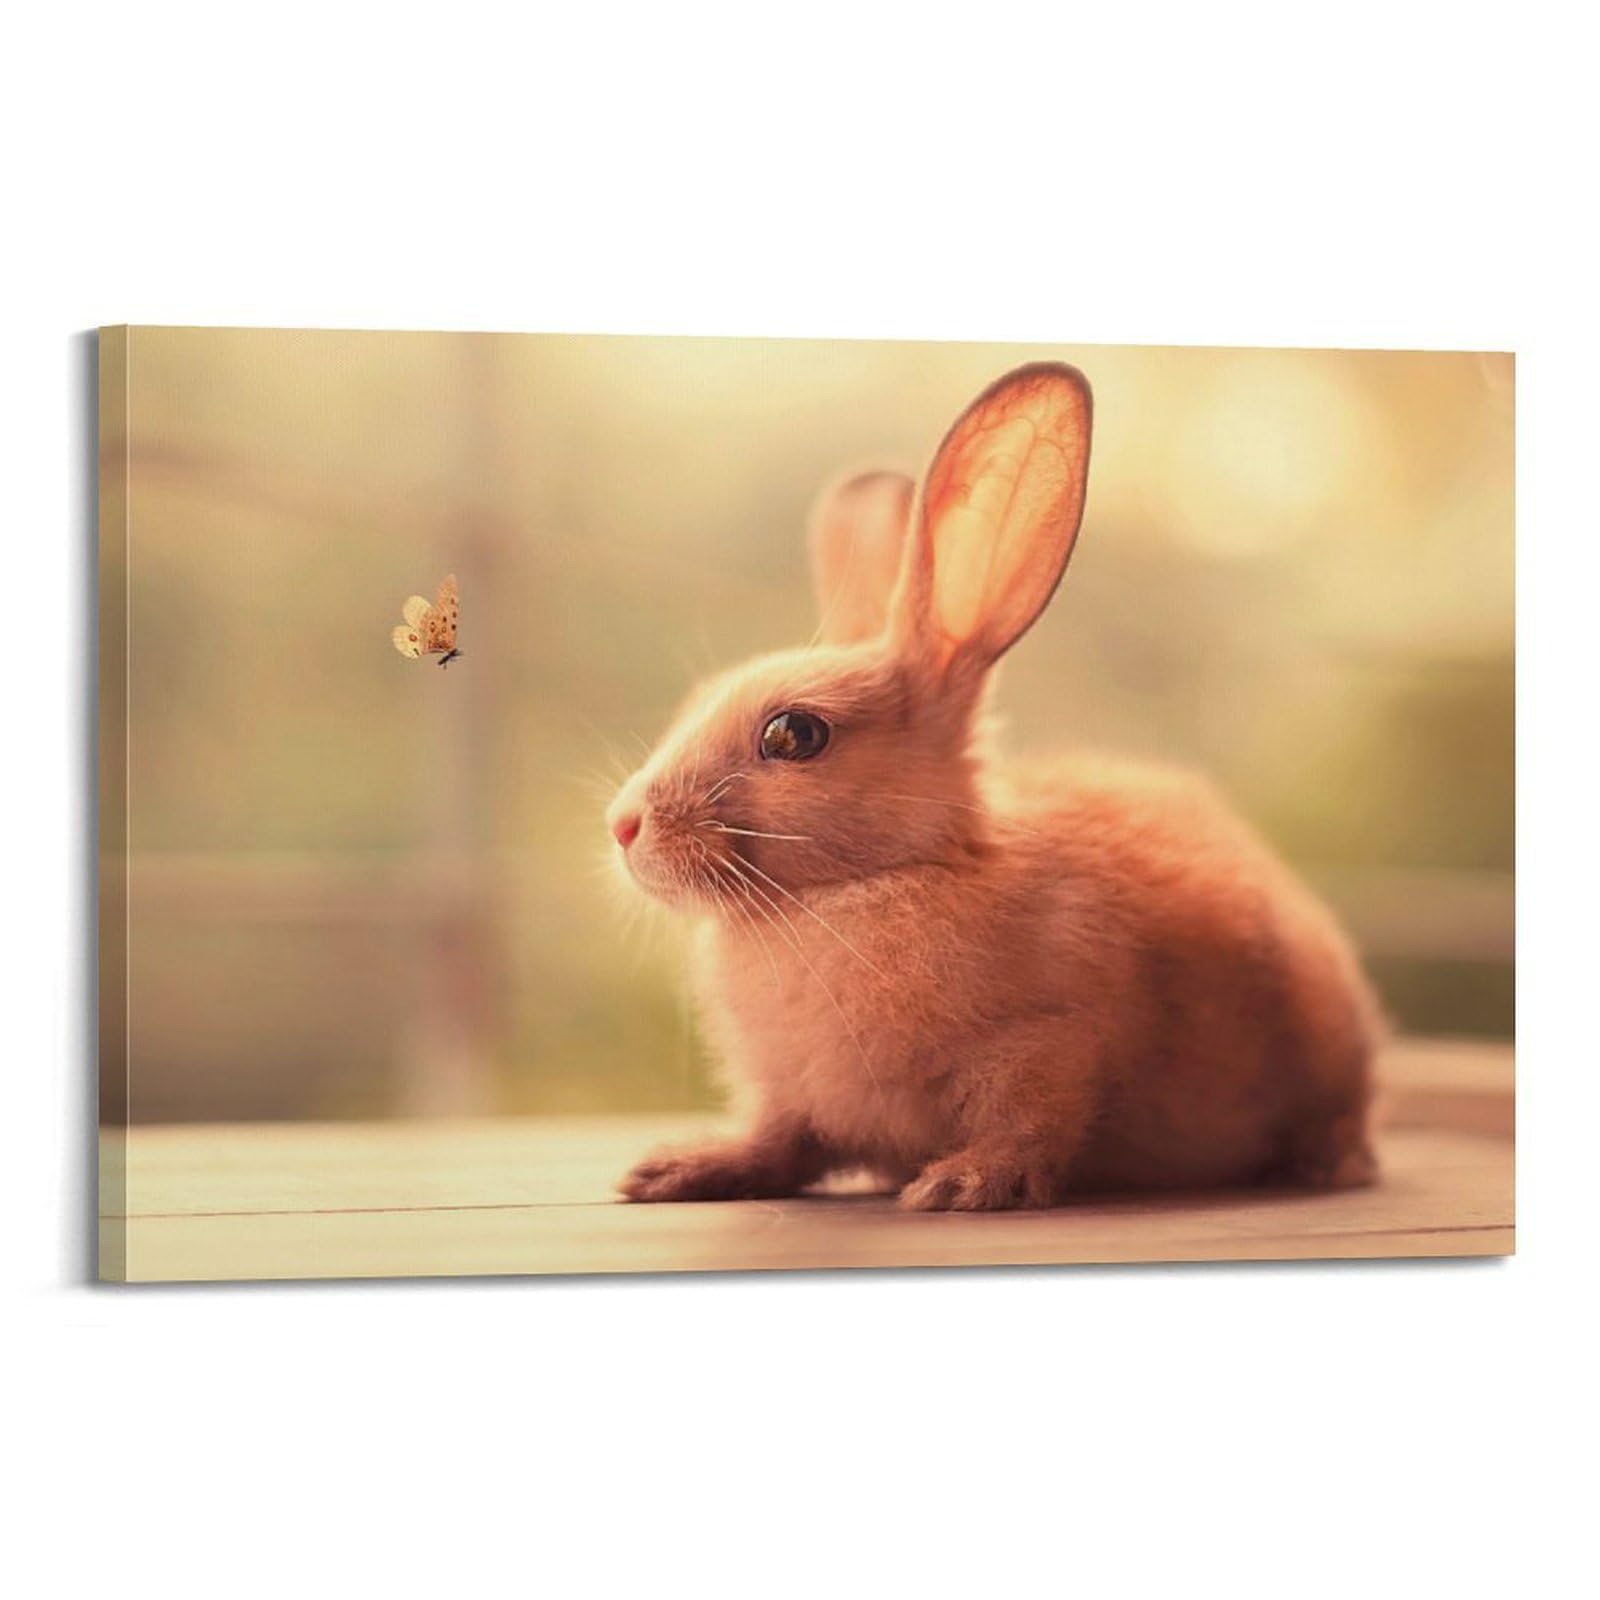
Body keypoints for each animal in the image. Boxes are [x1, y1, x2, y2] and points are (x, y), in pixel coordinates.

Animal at [606, 362, 1381, 1210]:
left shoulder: (1049, 1045)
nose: (623, 825)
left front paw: (962, 1184)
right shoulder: (790, 1099)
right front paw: (679, 1170)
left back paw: (1329, 1165)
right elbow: (777, 1142)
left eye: (794, 734)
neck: (865, 884)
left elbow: (1028, 1125)